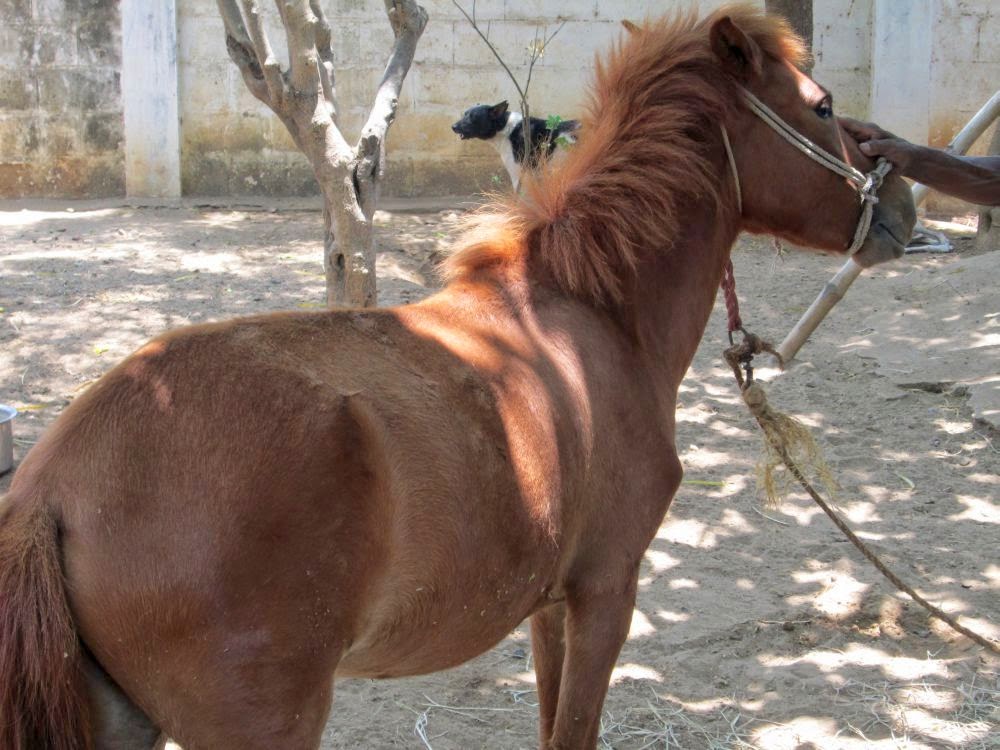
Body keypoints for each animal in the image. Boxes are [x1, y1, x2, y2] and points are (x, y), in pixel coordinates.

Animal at [0, 5, 914, 749]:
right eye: (822, 105)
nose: (902, 203)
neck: (594, 307)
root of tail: (55, 485)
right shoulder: (607, 592)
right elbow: (574, 733)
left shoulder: (552, 604)